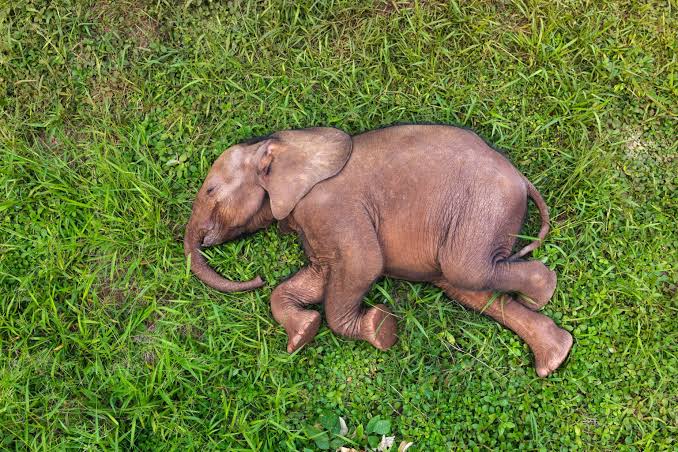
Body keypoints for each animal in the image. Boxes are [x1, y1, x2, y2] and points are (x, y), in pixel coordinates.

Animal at [184, 124, 573, 377]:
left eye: (211, 190)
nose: (257, 278)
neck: (290, 144)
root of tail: (522, 178)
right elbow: (319, 277)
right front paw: (302, 334)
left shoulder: (331, 207)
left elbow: (362, 265)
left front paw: (380, 329)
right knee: (466, 287)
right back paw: (554, 356)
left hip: (484, 205)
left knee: (468, 270)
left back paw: (543, 293)